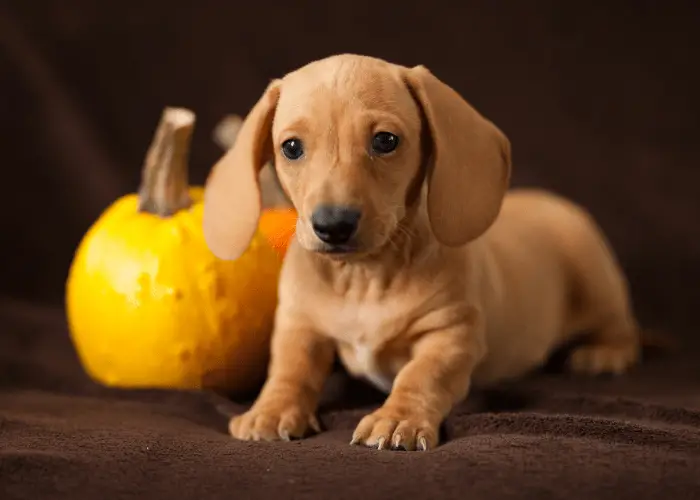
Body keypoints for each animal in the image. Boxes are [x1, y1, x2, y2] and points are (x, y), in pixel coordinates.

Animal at [200, 54, 644, 454]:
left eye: (385, 141)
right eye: (291, 147)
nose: (333, 225)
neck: (363, 277)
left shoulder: (450, 334)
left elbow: (421, 375)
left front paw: (399, 418)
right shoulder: (299, 324)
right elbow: (290, 367)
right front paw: (272, 409)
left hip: (596, 277)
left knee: (621, 324)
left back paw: (605, 353)